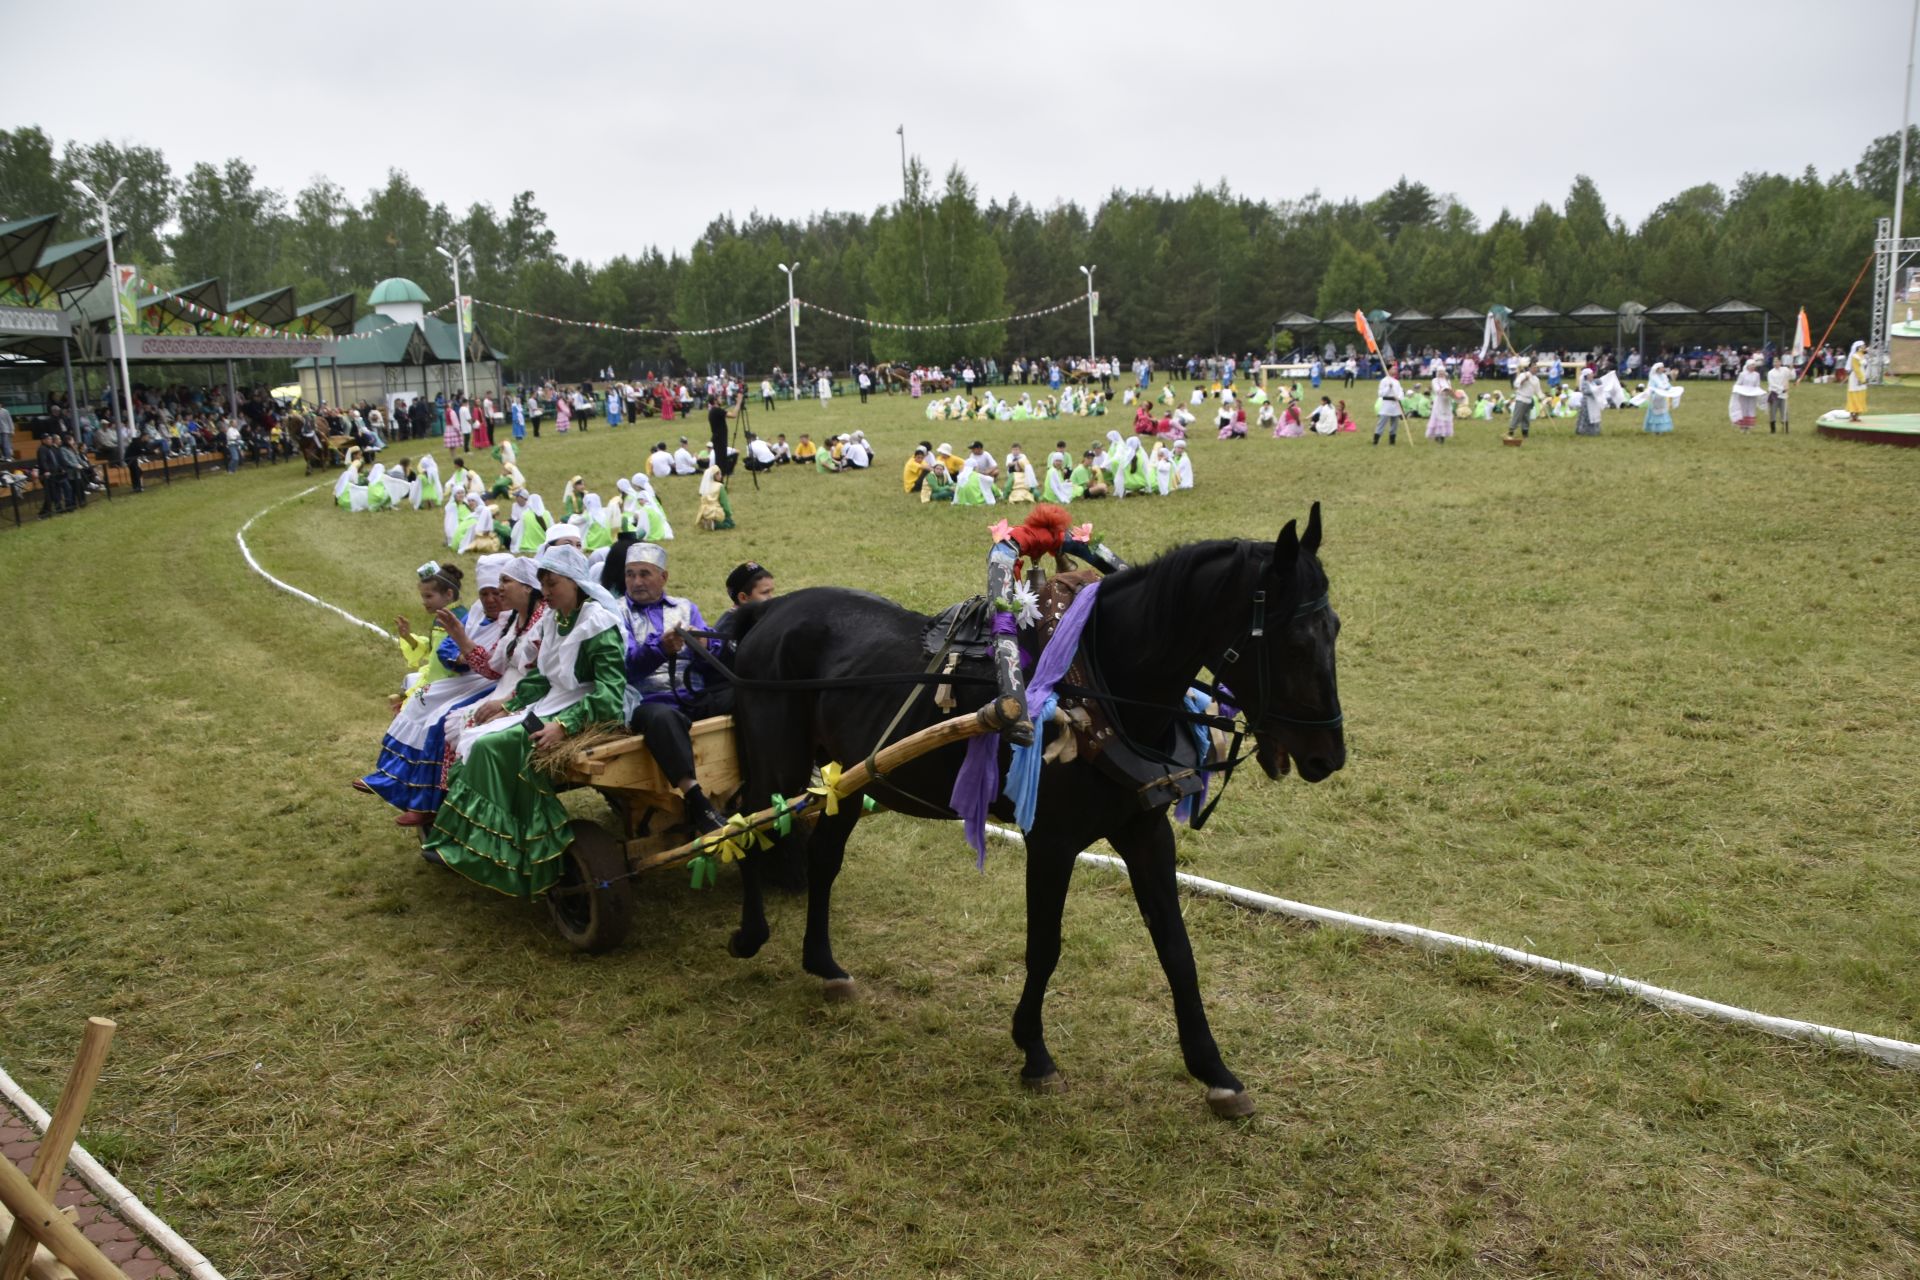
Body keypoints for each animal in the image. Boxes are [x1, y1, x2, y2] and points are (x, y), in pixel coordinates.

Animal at [725, 506, 1344, 1113]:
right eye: (1293, 641)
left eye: (1334, 629)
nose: (1329, 757)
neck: (1098, 684)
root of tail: (770, 611)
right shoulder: (1050, 843)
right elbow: (1044, 946)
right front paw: (1034, 1052)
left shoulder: (1144, 831)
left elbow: (1176, 948)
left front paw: (1215, 1071)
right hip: (779, 761)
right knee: (747, 825)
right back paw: (749, 933)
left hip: (847, 778)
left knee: (823, 860)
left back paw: (824, 964)